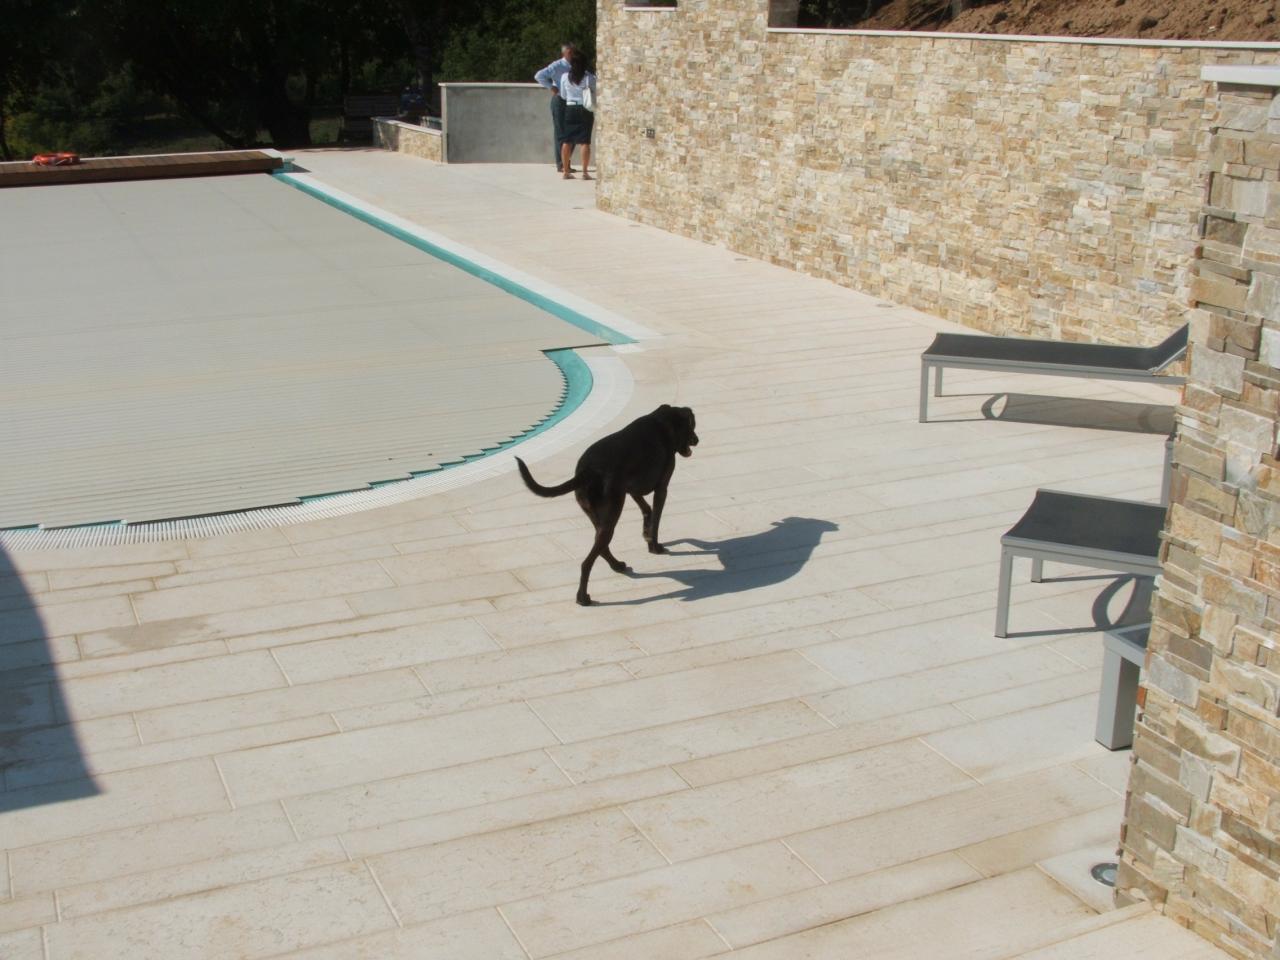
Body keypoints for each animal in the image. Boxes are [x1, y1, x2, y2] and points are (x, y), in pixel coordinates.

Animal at [512, 407, 701, 604]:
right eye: (692, 426)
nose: (697, 440)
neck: (666, 421)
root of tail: (586, 471)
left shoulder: (630, 489)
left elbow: (647, 510)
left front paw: (646, 535)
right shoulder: (661, 488)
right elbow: (656, 520)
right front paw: (655, 546)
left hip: (599, 516)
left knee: (601, 548)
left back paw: (616, 565)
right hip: (611, 515)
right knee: (587, 562)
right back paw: (583, 598)